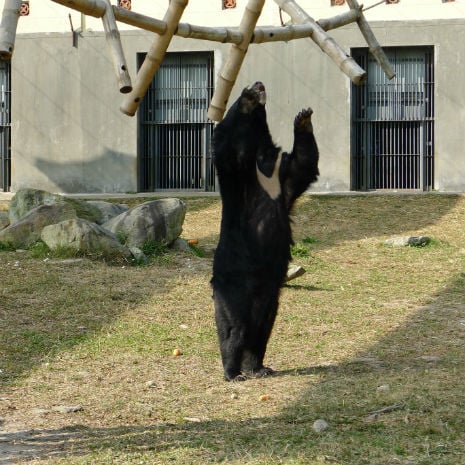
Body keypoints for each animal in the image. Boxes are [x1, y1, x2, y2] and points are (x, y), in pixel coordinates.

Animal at [211, 81, 318, 378]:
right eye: (248, 86)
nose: (259, 85)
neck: (261, 162)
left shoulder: (282, 177)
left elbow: (303, 164)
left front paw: (303, 117)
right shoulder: (237, 174)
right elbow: (226, 146)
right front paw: (247, 100)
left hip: (270, 296)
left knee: (261, 329)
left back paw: (258, 367)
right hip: (233, 287)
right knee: (234, 328)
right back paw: (232, 372)